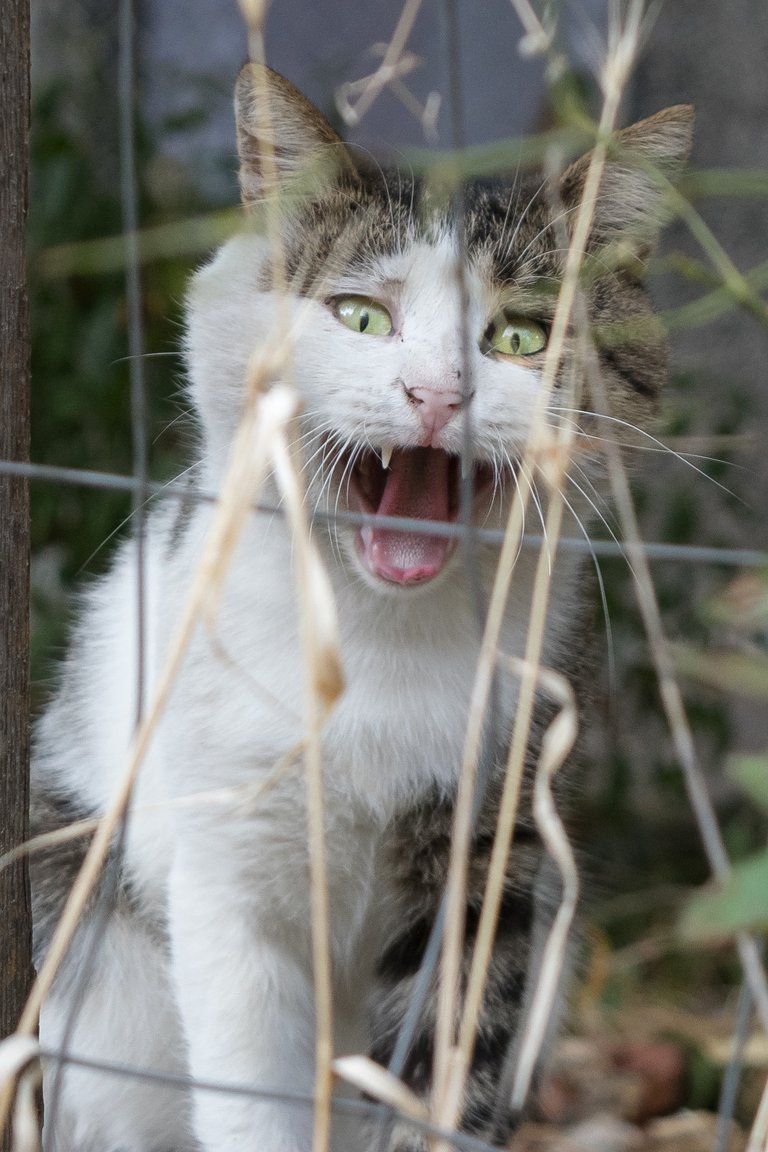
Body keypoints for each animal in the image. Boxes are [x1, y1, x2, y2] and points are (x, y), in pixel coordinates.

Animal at [30, 60, 695, 1152]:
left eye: (520, 335)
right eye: (361, 317)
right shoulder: (227, 866)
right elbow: (251, 1092)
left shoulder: (491, 859)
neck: (380, 638)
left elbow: (446, 1079)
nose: (436, 395)